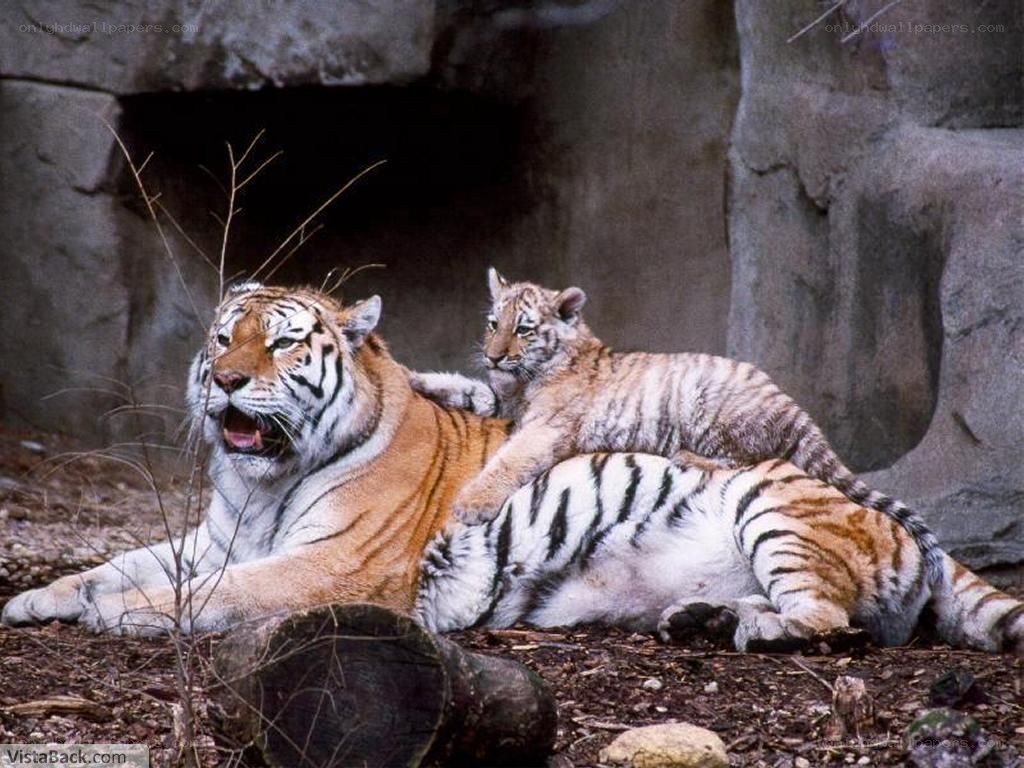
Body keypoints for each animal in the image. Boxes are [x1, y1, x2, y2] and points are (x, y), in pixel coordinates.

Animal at [408, 268, 945, 585]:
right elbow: (467, 388)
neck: (529, 377)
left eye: (523, 328)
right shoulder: (504, 400)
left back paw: (685, 454)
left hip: (709, 407)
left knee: (747, 457)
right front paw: (418, 378)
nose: (494, 356)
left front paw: (470, 504)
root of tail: (796, 409)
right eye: (492, 323)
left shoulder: (545, 428)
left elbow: (509, 461)